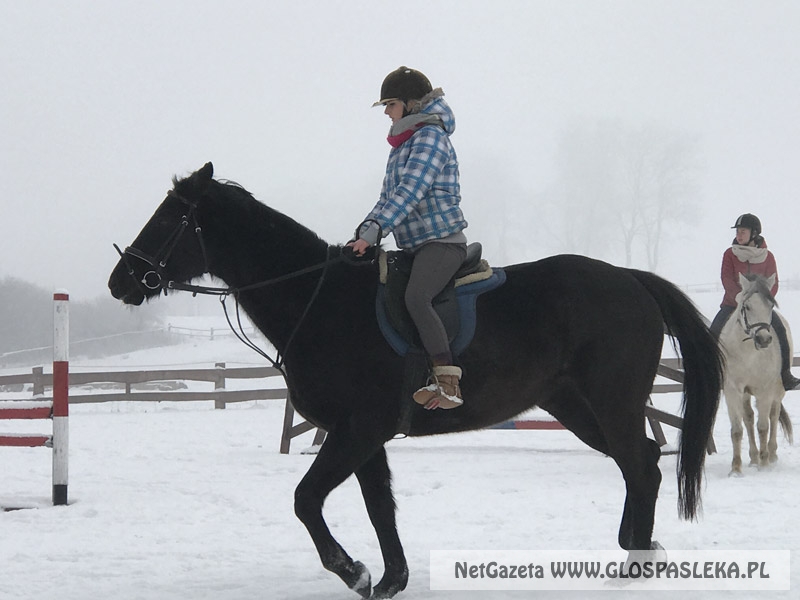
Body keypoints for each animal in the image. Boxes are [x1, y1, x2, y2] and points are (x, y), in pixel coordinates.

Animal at [109, 162, 728, 596]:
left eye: (168, 219)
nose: (121, 280)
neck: (322, 300)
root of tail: (630, 279)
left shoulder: (358, 429)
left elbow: (307, 500)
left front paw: (353, 571)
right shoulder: (364, 436)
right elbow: (379, 506)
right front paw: (389, 580)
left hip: (611, 402)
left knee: (640, 465)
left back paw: (636, 559)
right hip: (576, 407)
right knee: (641, 460)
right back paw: (637, 550)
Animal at [720, 274, 792, 476]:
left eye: (770, 306)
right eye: (747, 306)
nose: (764, 339)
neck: (749, 353)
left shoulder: (765, 391)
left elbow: (763, 427)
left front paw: (765, 464)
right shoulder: (732, 391)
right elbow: (737, 429)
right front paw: (736, 469)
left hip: (778, 392)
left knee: (773, 417)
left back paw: (771, 455)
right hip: (745, 394)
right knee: (749, 418)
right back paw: (753, 458)